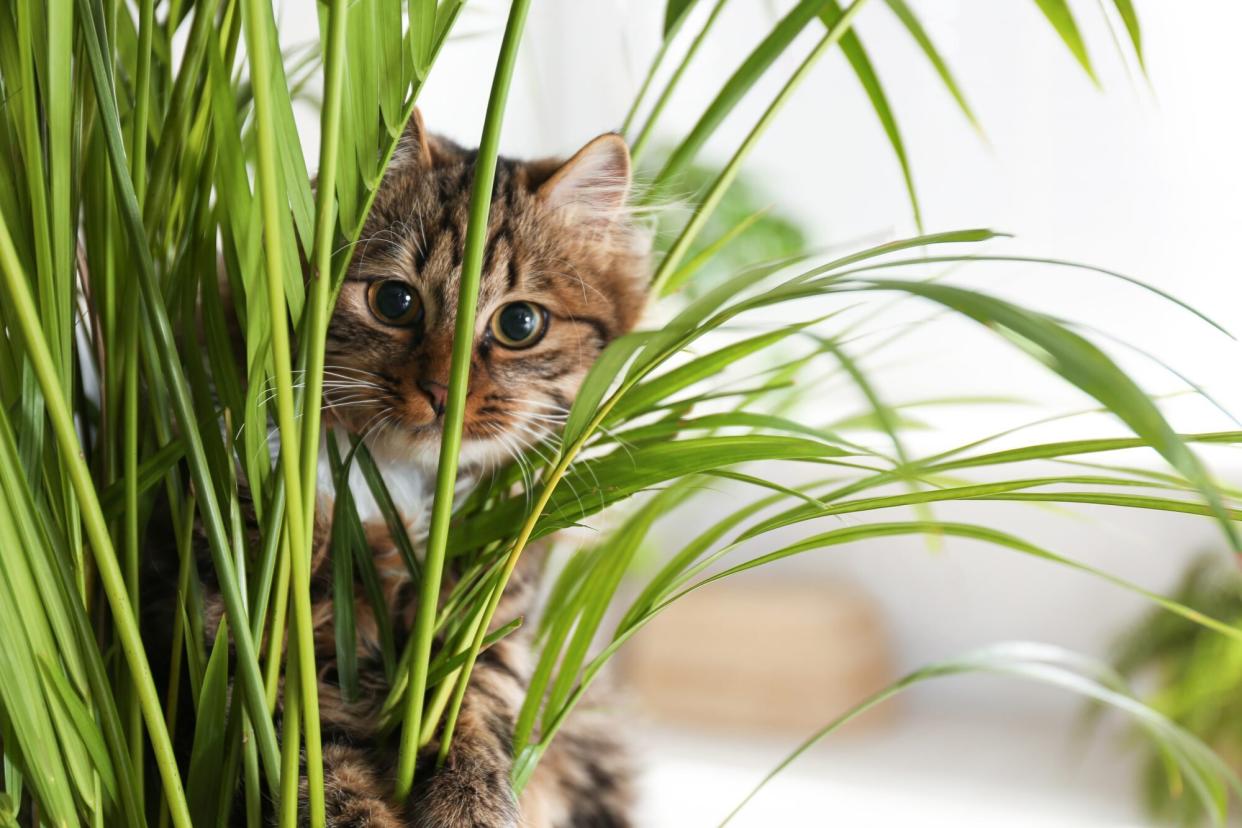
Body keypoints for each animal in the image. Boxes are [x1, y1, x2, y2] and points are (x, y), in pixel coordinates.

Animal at [149, 114, 650, 828]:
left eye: (520, 322)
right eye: (394, 300)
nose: (443, 391)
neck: (396, 488)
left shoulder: (487, 630)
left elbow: (470, 714)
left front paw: (470, 807)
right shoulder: (257, 649)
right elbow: (324, 777)